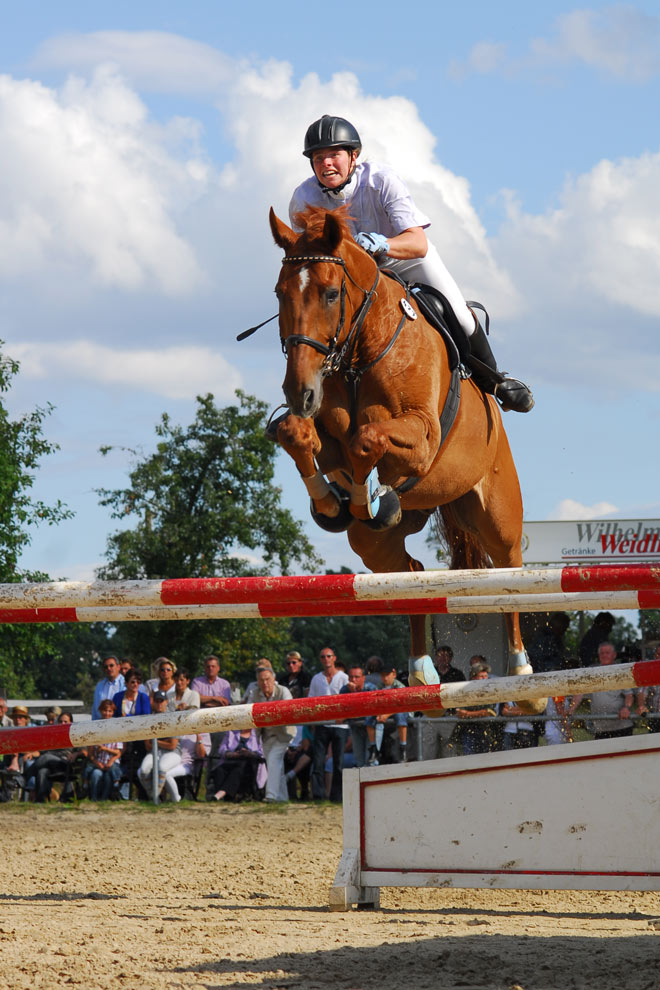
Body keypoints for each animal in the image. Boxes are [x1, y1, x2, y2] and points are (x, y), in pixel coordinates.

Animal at [268, 205, 548, 712]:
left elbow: (368, 439)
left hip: (496, 514)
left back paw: (524, 679)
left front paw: (367, 495)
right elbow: (298, 434)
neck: (360, 351)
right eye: (280, 293)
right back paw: (420, 669)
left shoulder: (422, 438)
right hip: (373, 545)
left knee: (509, 572)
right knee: (412, 572)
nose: (299, 392)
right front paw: (335, 503)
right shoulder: (323, 430)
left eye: (331, 293)